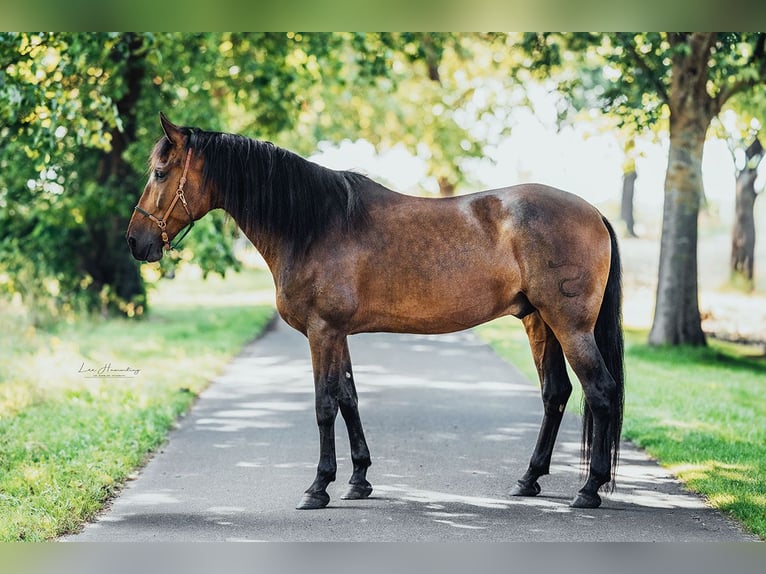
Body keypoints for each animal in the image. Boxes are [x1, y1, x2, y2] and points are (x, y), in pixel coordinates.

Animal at [129, 115, 628, 510]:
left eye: (160, 172)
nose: (136, 241)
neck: (313, 224)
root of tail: (595, 213)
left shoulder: (322, 331)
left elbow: (324, 404)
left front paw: (318, 487)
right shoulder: (338, 333)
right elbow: (348, 398)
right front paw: (358, 480)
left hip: (570, 326)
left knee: (601, 391)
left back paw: (590, 488)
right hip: (538, 321)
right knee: (556, 392)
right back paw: (529, 479)